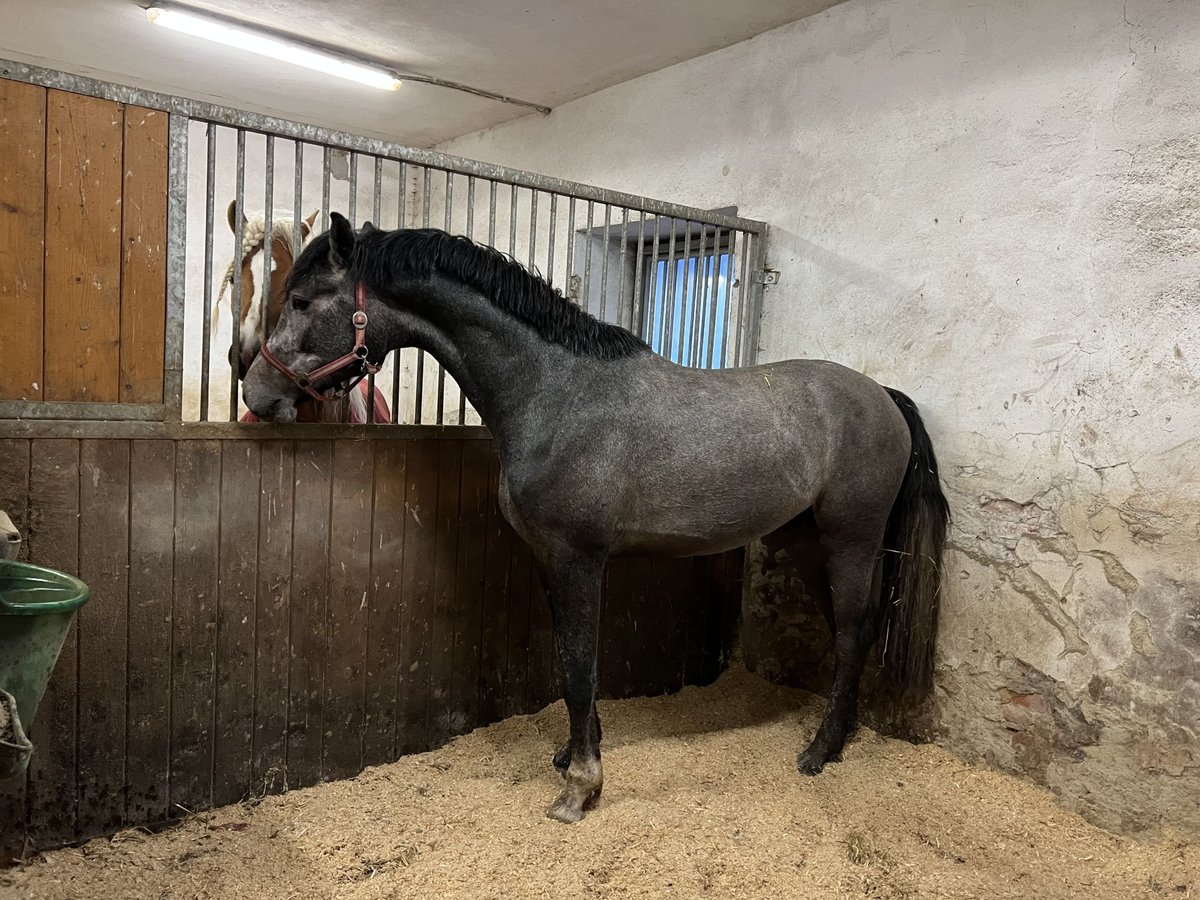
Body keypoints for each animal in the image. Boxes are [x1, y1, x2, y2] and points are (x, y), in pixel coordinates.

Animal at [243, 214, 950, 830]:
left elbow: (579, 668)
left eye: (301, 300)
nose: (256, 394)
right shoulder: (552, 560)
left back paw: (820, 752)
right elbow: (571, 657)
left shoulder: (575, 557)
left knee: (855, 632)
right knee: (852, 632)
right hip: (812, 543)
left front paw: (580, 788)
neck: (556, 395)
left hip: (852, 539)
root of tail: (884, 397)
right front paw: (575, 756)